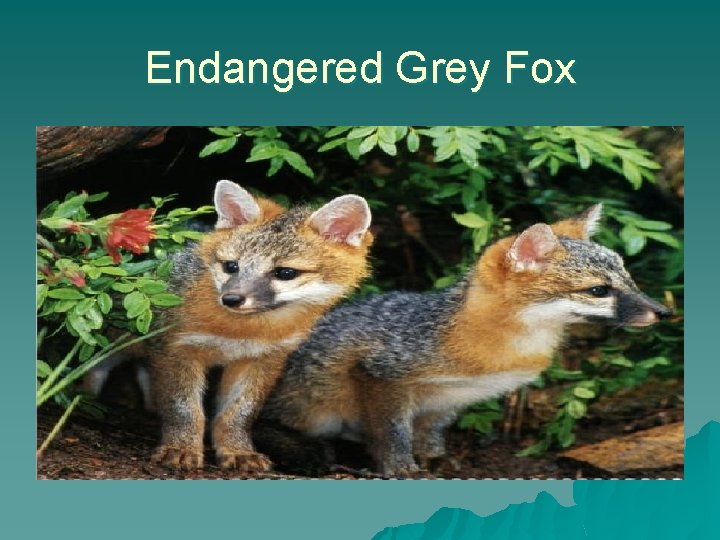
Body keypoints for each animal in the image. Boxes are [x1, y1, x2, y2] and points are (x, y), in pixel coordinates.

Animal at [147, 180, 373, 471]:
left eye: (285, 273)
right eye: (231, 266)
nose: (231, 299)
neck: (242, 331)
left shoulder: (260, 360)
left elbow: (238, 414)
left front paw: (238, 451)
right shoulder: (177, 348)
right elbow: (183, 409)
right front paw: (181, 448)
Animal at [261, 204, 672, 476]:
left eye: (630, 280)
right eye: (599, 290)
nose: (664, 312)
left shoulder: (449, 399)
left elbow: (430, 433)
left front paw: (436, 460)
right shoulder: (379, 375)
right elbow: (391, 433)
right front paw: (401, 469)